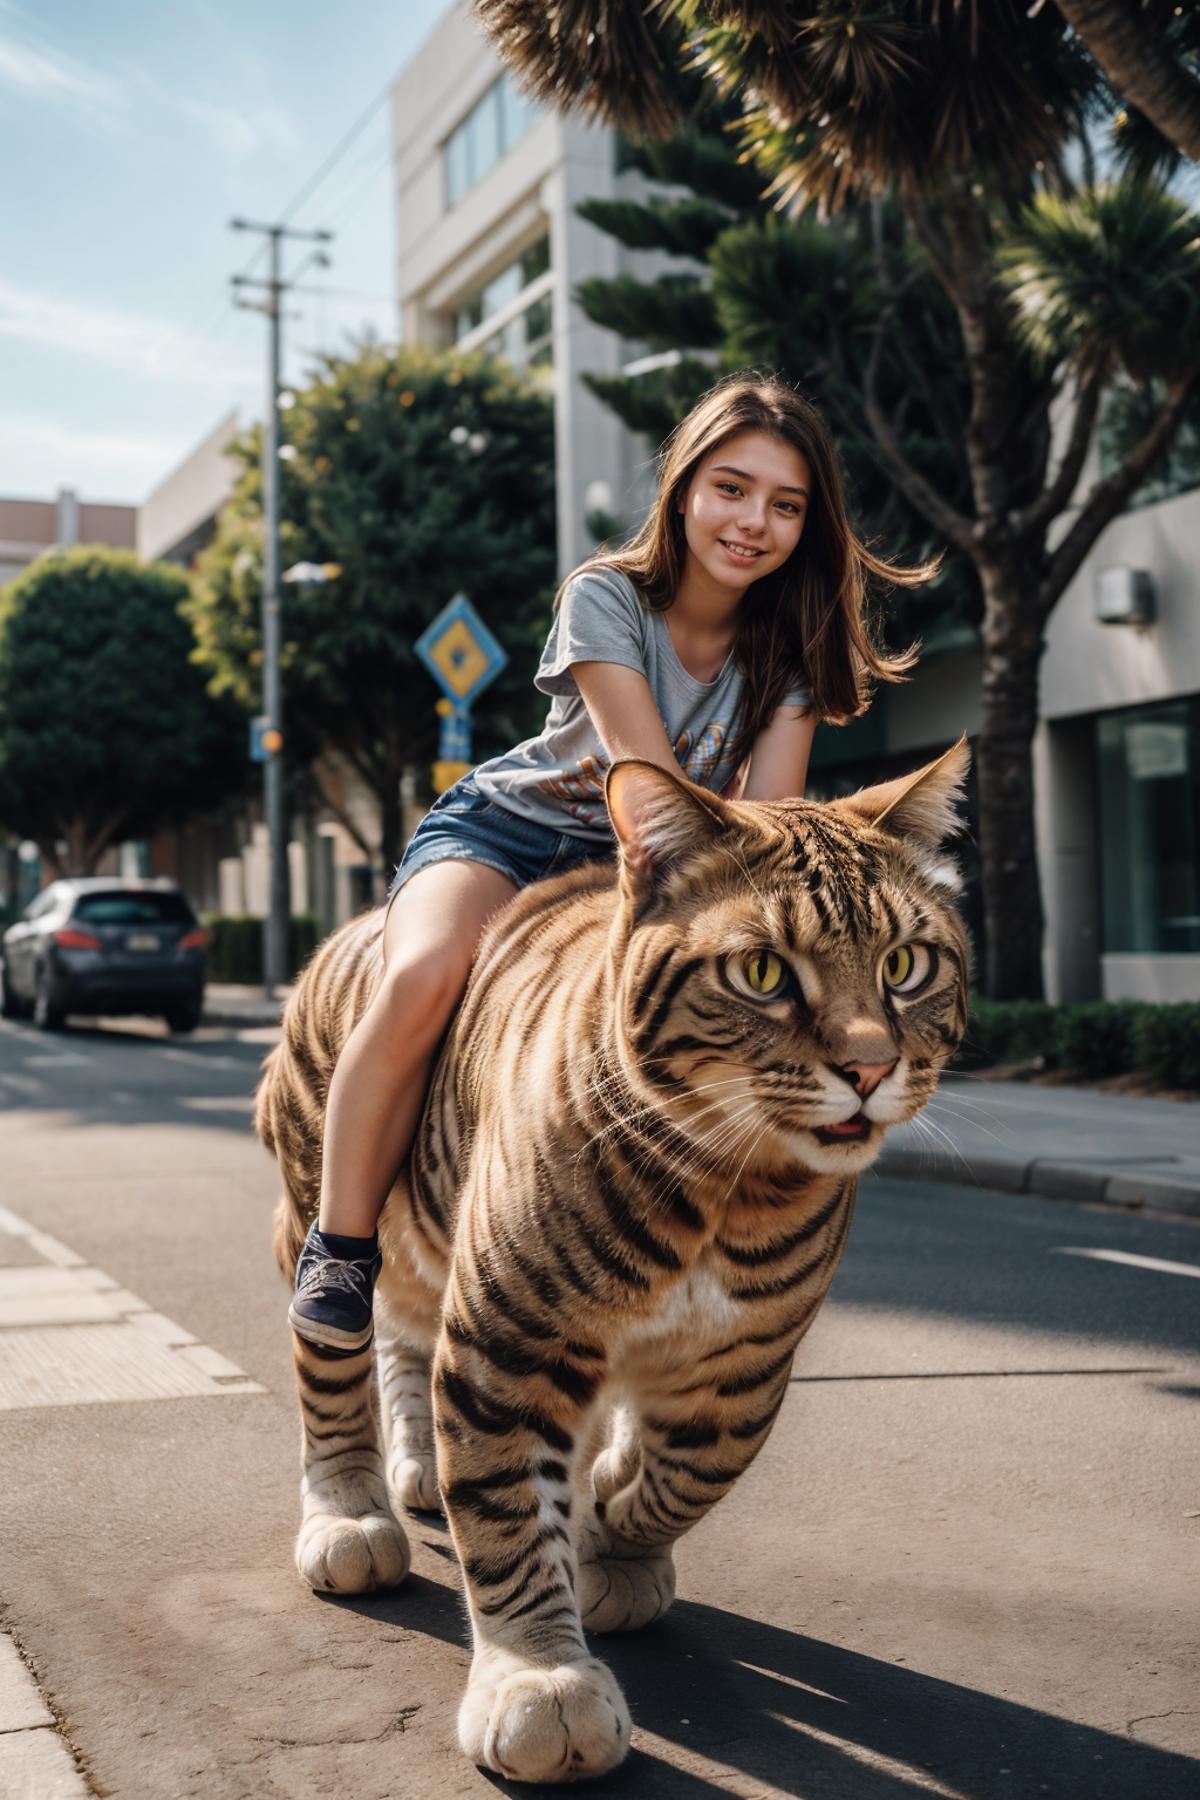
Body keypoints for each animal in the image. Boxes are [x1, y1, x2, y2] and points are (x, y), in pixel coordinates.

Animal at [259, 748, 971, 1785]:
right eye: (763, 971)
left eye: (904, 966)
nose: (871, 1070)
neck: (729, 1186)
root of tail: (342, 932)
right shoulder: (509, 1341)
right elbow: (511, 1514)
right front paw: (539, 1679)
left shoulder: (744, 1366)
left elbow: (688, 1474)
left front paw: (615, 1540)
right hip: (327, 1206)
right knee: (337, 1351)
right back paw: (349, 1510)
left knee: (405, 1335)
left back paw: (425, 1462)